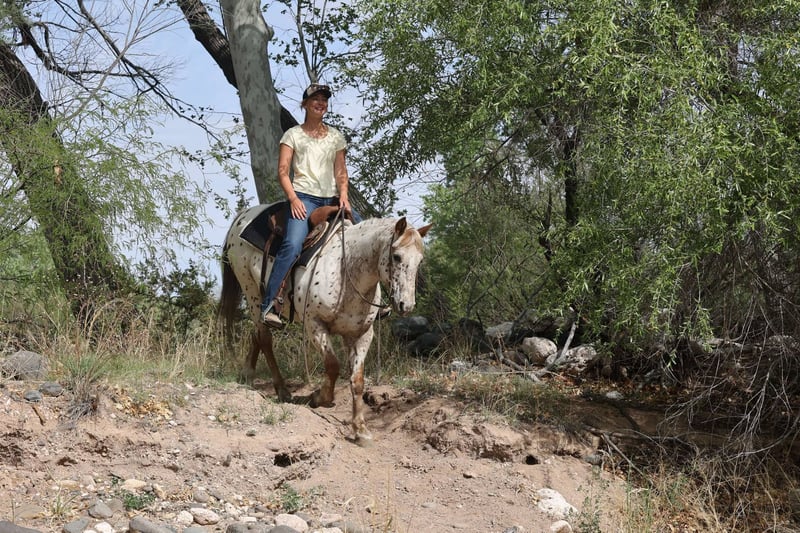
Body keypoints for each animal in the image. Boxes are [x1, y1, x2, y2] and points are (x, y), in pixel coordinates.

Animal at [219, 204, 431, 444]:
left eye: (420, 260)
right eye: (396, 256)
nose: (407, 305)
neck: (346, 271)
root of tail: (245, 215)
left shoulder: (362, 334)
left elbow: (357, 380)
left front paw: (360, 429)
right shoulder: (315, 324)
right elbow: (332, 366)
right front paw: (320, 397)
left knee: (256, 336)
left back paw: (247, 375)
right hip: (252, 294)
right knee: (264, 338)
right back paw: (282, 390)